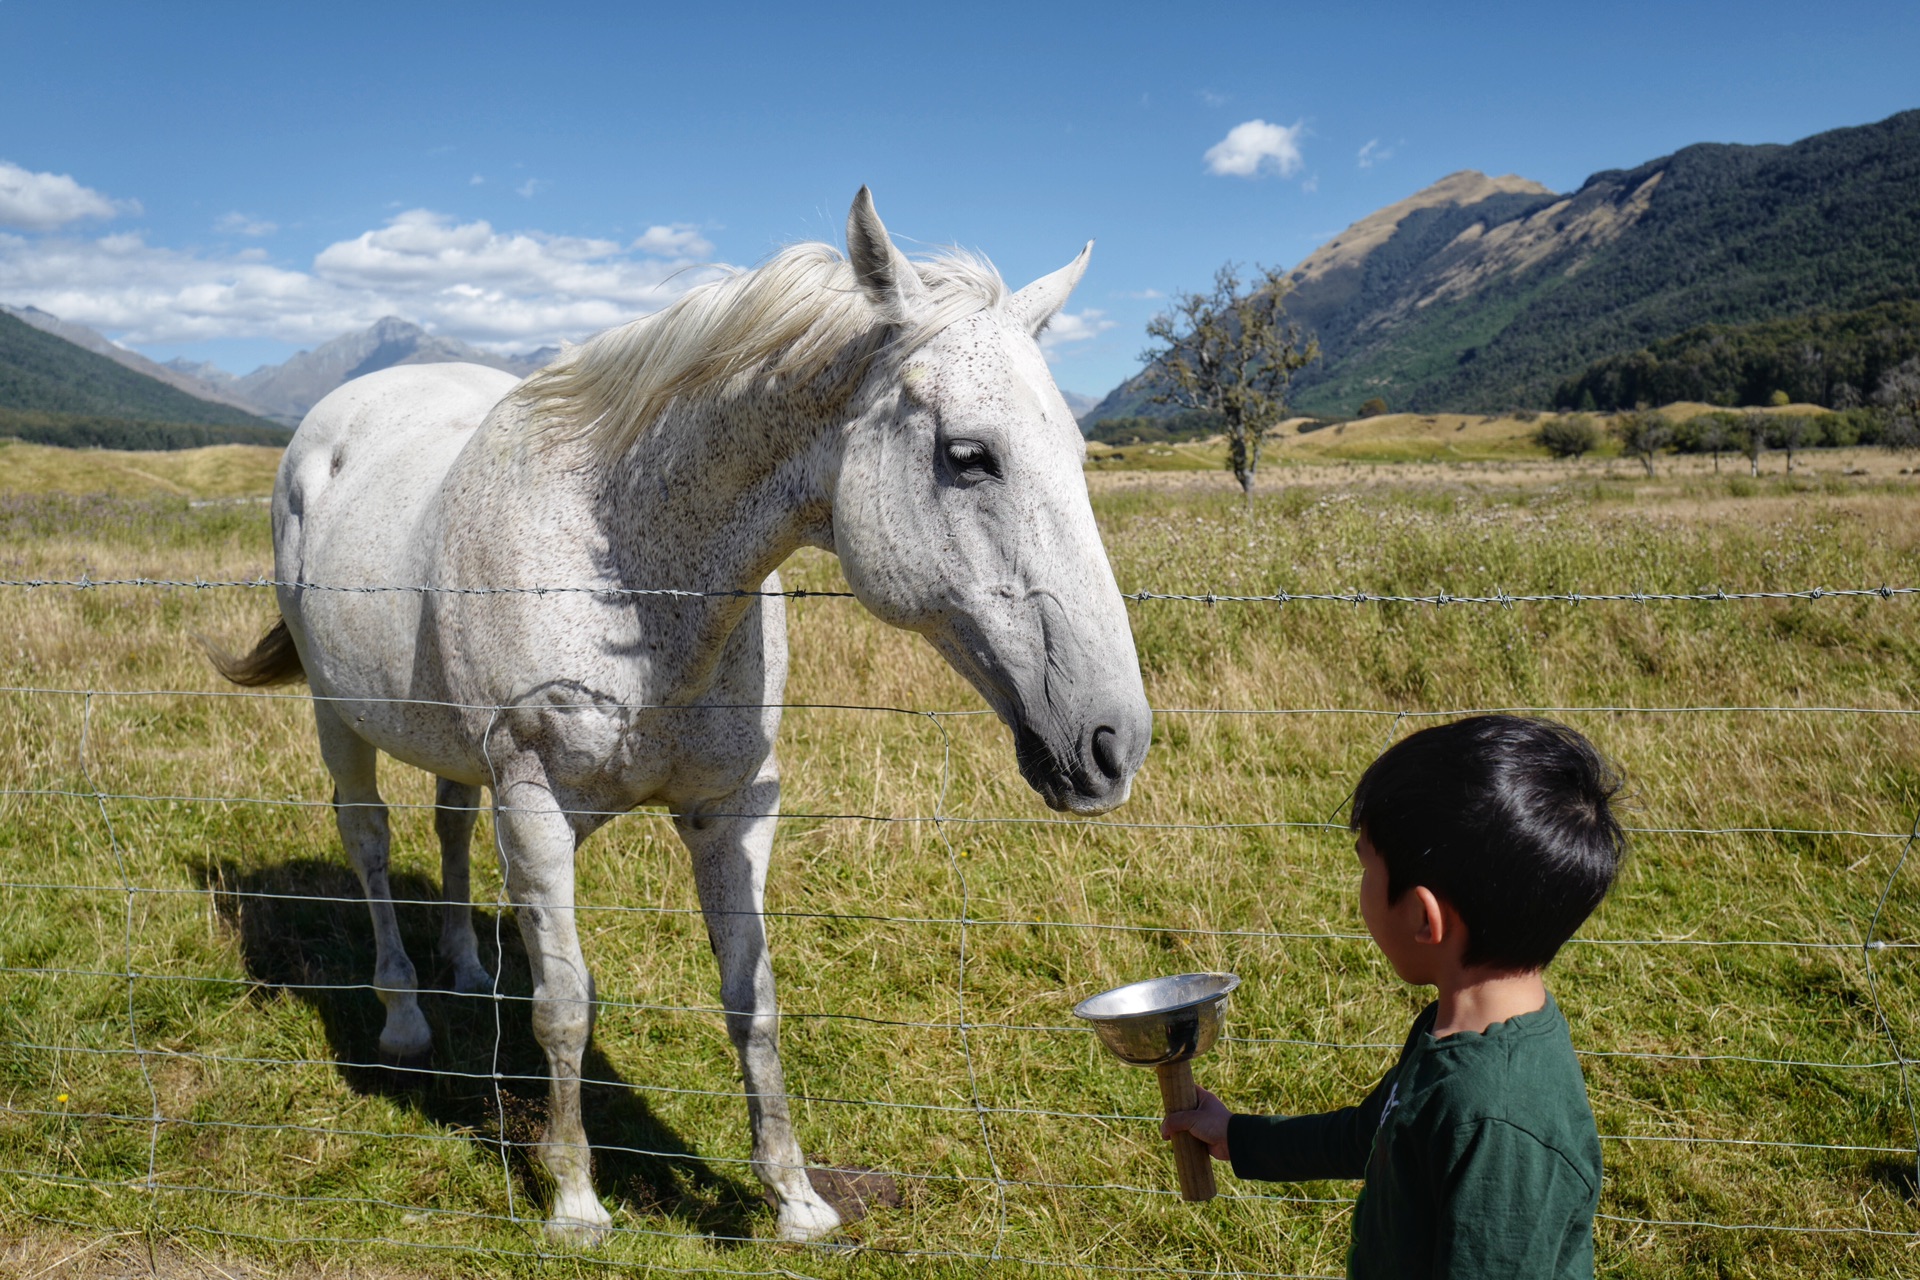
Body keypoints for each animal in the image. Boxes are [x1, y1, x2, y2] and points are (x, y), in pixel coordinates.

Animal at [214, 189, 1136, 1243]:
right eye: (969, 457)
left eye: (1078, 453)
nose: (1112, 742)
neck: (631, 578)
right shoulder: (535, 806)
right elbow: (566, 1005)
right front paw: (575, 1201)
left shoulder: (731, 811)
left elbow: (753, 999)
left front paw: (796, 1200)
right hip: (339, 719)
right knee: (366, 838)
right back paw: (404, 1016)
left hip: (454, 745)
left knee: (448, 823)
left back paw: (466, 973)